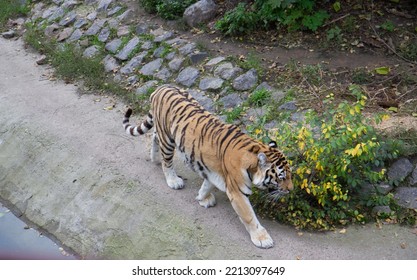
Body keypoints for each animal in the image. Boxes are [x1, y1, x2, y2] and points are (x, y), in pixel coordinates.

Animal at [122, 84, 292, 248]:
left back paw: (154, 158)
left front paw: (202, 198)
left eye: (290, 175)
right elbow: (249, 216)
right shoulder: (237, 191)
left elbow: (207, 184)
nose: (291, 190)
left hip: (164, 133)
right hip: (168, 139)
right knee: (167, 161)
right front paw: (262, 239)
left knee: (154, 137)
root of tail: (160, 88)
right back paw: (173, 180)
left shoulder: (214, 172)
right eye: (281, 177)